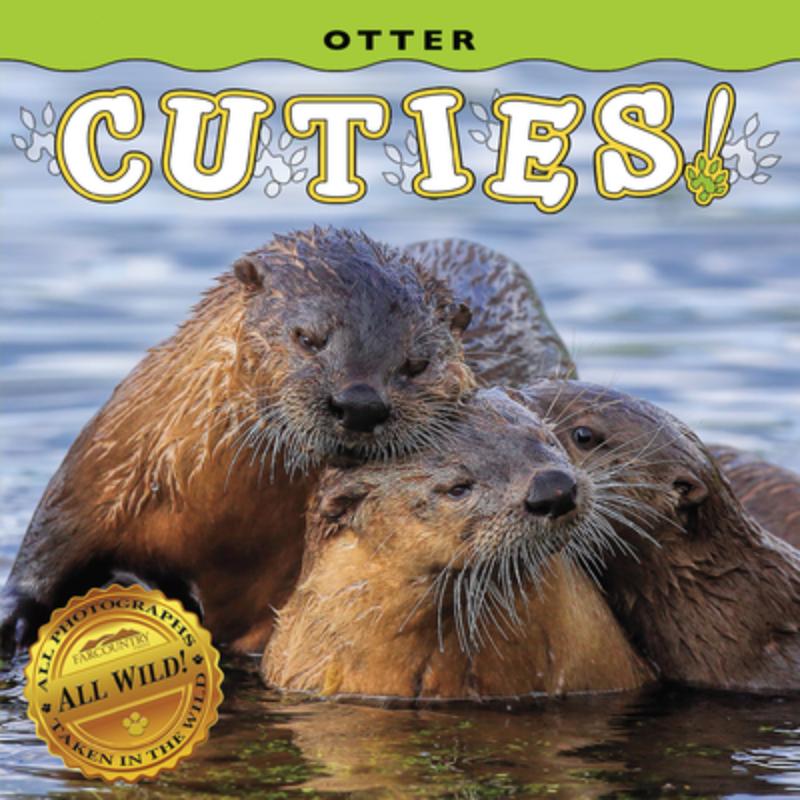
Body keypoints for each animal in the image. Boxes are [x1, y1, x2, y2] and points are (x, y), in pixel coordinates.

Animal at [1, 227, 476, 654]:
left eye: (417, 363)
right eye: (307, 338)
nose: (360, 403)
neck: (211, 506)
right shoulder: (106, 461)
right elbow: (46, 550)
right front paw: (13, 623)